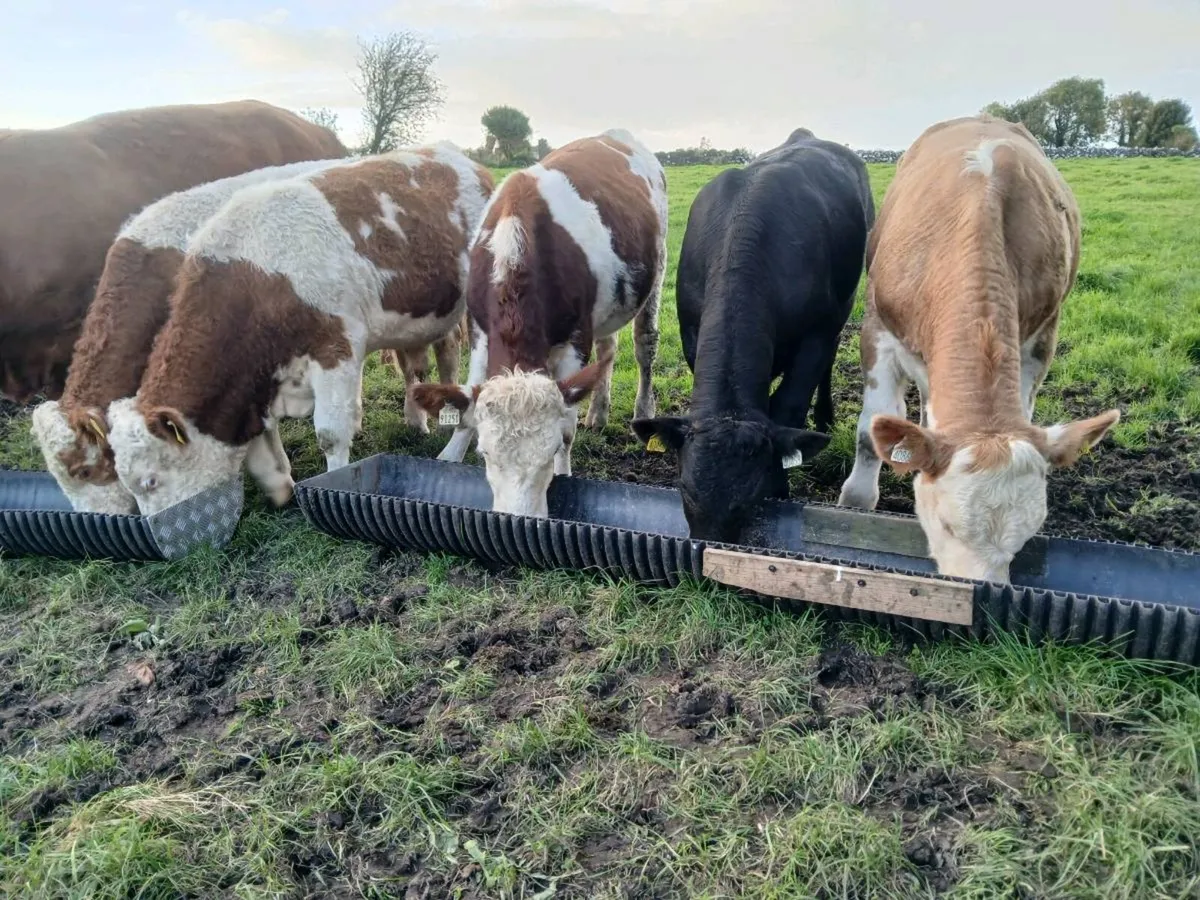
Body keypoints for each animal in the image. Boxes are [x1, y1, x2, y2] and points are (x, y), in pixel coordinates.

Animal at [105, 142, 495, 516]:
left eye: (151, 481)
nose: (155, 532)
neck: (257, 279)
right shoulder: (256, 384)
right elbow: (265, 447)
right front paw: (281, 485)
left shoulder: (336, 349)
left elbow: (330, 434)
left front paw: (335, 480)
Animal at [408, 129, 668, 518]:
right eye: (485, 453)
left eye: (551, 449)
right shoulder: (479, 329)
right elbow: (467, 401)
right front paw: (450, 454)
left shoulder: (576, 339)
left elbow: (569, 422)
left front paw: (565, 472)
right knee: (608, 349)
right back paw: (599, 412)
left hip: (658, 268)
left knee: (645, 345)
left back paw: (642, 410)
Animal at [631, 128, 875, 544]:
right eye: (684, 488)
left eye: (751, 495)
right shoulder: (692, 333)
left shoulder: (816, 333)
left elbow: (789, 404)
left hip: (847, 300)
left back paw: (825, 417)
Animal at [836, 115, 1121, 582]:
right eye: (946, 524)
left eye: (1028, 535)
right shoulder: (877, 328)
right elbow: (868, 433)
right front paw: (856, 505)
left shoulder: (1041, 338)